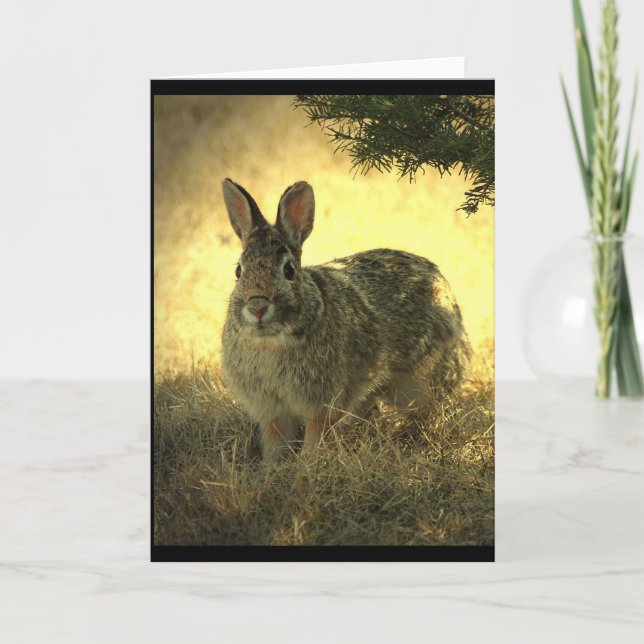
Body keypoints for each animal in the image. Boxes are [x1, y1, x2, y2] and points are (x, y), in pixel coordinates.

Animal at [221, 178, 471, 463]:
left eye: (288, 270)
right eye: (238, 271)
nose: (257, 307)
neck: (271, 341)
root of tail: (446, 291)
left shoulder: (323, 402)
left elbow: (316, 433)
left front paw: (308, 462)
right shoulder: (272, 410)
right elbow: (276, 440)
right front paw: (273, 467)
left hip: (416, 383)